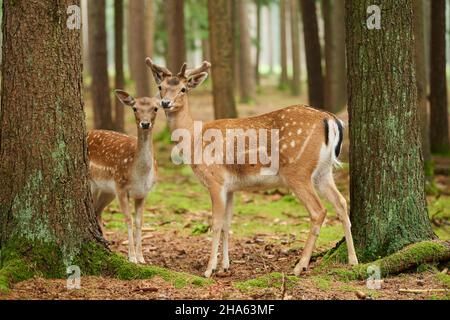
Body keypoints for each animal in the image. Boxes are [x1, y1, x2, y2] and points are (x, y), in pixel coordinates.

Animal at [87, 90, 158, 262]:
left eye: (155, 108)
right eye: (134, 108)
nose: (145, 124)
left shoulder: (143, 193)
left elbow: (139, 221)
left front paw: (141, 258)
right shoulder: (121, 187)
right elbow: (128, 219)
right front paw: (131, 258)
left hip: (107, 191)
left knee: (97, 210)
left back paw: (107, 245)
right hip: (95, 185)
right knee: (95, 209)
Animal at [147, 58, 358, 278]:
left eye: (183, 88)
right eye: (160, 87)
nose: (165, 103)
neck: (194, 139)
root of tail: (331, 120)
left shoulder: (215, 180)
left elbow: (215, 223)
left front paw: (209, 269)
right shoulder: (230, 188)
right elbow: (227, 224)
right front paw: (225, 266)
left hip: (298, 171)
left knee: (319, 211)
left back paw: (300, 266)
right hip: (323, 171)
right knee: (341, 202)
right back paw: (353, 260)